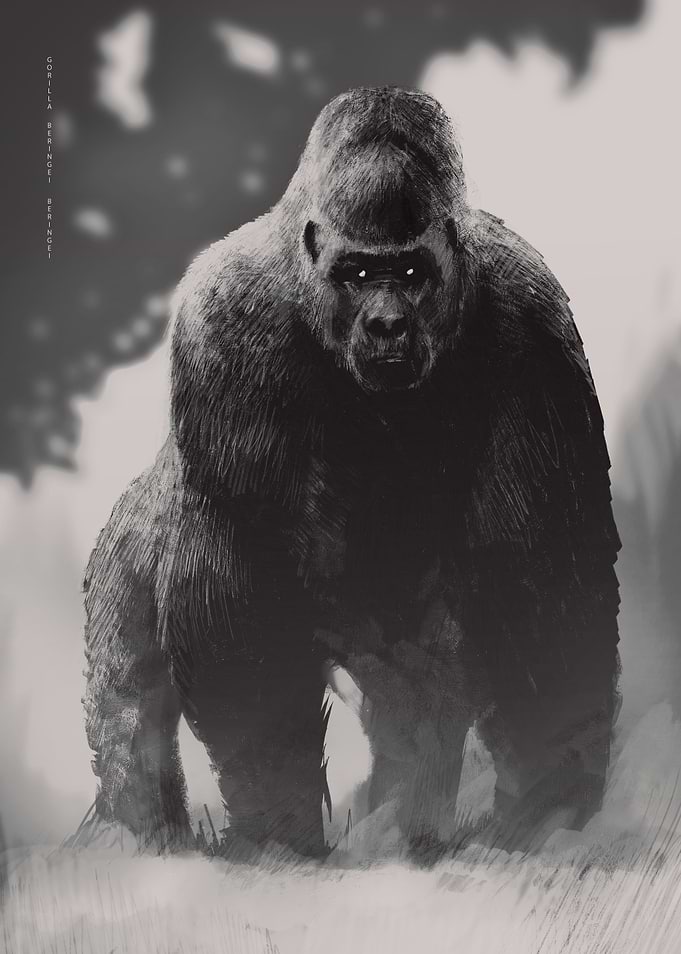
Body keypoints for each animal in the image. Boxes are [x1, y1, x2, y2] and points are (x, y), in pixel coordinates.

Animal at [81, 86, 620, 860]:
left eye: (412, 274)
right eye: (359, 274)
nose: (388, 325)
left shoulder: (535, 322)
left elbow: (541, 566)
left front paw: (554, 800)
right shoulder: (223, 324)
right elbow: (247, 592)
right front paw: (279, 827)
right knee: (133, 707)